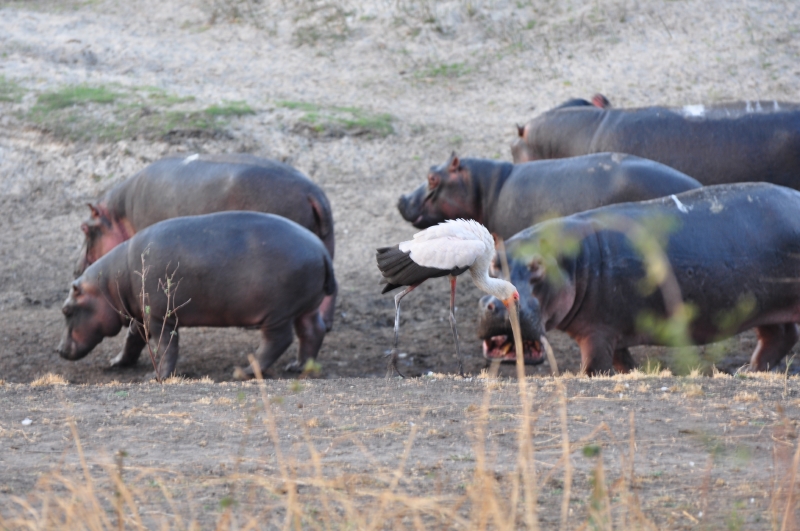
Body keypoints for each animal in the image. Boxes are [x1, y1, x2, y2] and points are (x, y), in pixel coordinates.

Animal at [58, 212, 336, 379]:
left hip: (278, 313)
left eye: (67, 310)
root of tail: (321, 250)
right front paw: (117, 362)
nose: (59, 350)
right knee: (312, 331)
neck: (110, 284)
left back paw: (243, 372)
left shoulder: (159, 317)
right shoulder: (141, 315)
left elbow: (165, 346)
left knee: (278, 340)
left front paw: (156, 377)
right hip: (306, 307)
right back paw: (298, 367)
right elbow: (133, 340)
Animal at [75, 153, 337, 330]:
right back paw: (325, 323)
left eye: (84, 228)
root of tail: (313, 192)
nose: (77, 269)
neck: (118, 214)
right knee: (330, 290)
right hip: (326, 241)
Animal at [479, 183, 800, 374]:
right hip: (765, 308)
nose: (494, 304)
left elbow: (594, 365)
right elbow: (622, 360)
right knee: (780, 335)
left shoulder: (597, 331)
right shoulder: (612, 331)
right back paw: (749, 369)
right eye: (494, 263)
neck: (572, 259)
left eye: (537, 266)